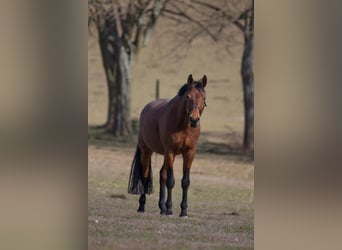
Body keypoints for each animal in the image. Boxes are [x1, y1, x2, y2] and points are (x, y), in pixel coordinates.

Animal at [128, 73, 207, 217]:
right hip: (147, 151)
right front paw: (170, 209)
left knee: (162, 174)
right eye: (187, 97)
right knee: (145, 175)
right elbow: (171, 181)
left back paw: (162, 208)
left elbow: (185, 182)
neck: (183, 125)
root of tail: (147, 107)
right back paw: (142, 207)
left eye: (204, 98)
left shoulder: (189, 153)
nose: (194, 119)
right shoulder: (170, 151)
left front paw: (183, 211)